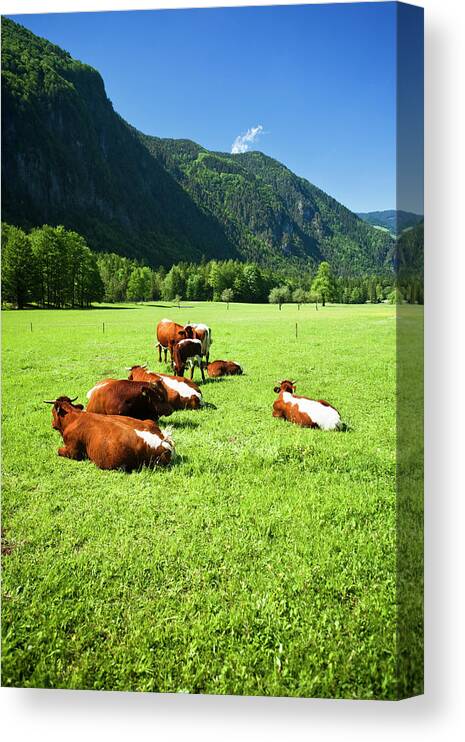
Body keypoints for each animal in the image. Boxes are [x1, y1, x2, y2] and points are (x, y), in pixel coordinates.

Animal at [44, 396, 174, 470]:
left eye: (52, 411)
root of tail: (162, 441)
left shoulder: (73, 451)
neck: (74, 417)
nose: (52, 423)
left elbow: (58, 450)